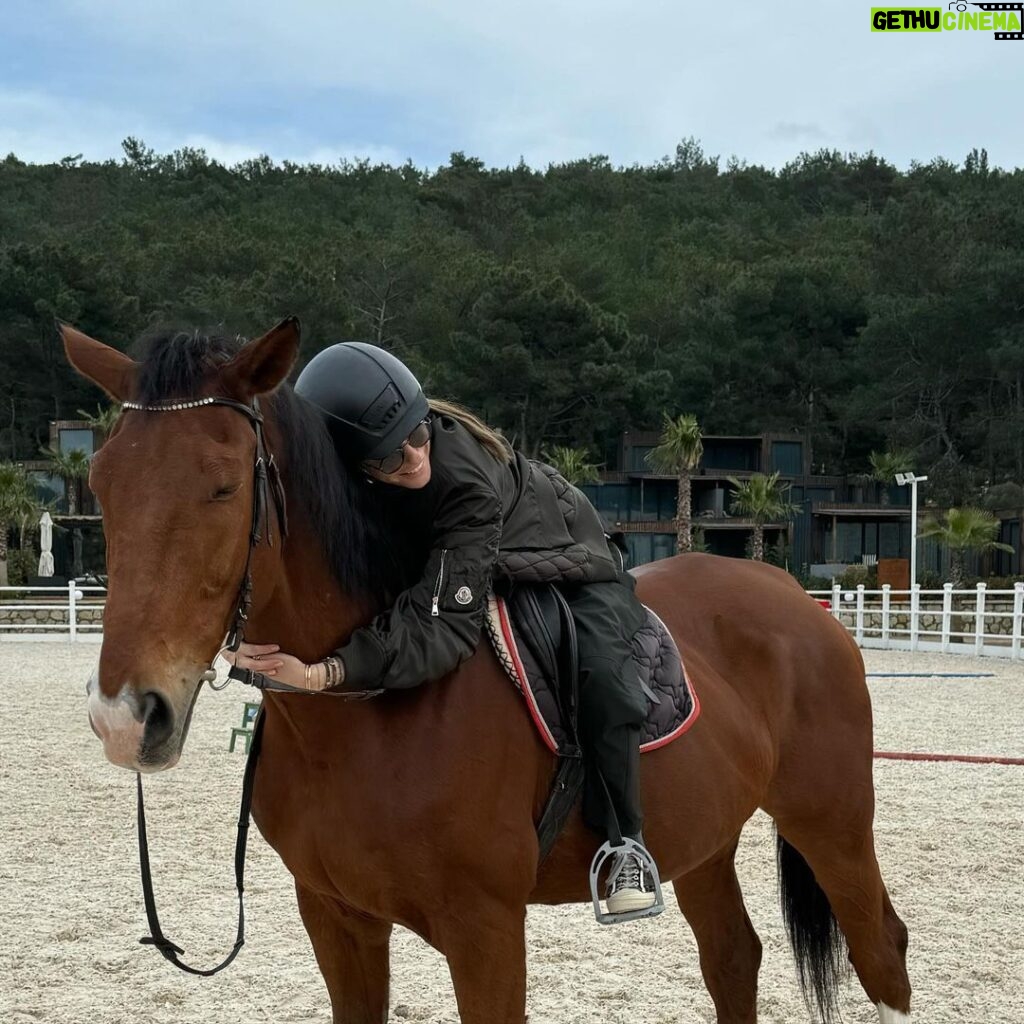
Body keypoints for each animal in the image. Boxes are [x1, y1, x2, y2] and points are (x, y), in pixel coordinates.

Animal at [64, 321, 913, 1024]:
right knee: (735, 958)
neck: (369, 723)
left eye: (223, 485)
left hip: (832, 822)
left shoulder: (486, 931)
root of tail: (799, 601)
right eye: (101, 484)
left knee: (883, 951)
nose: (126, 718)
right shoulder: (336, 919)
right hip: (706, 840)